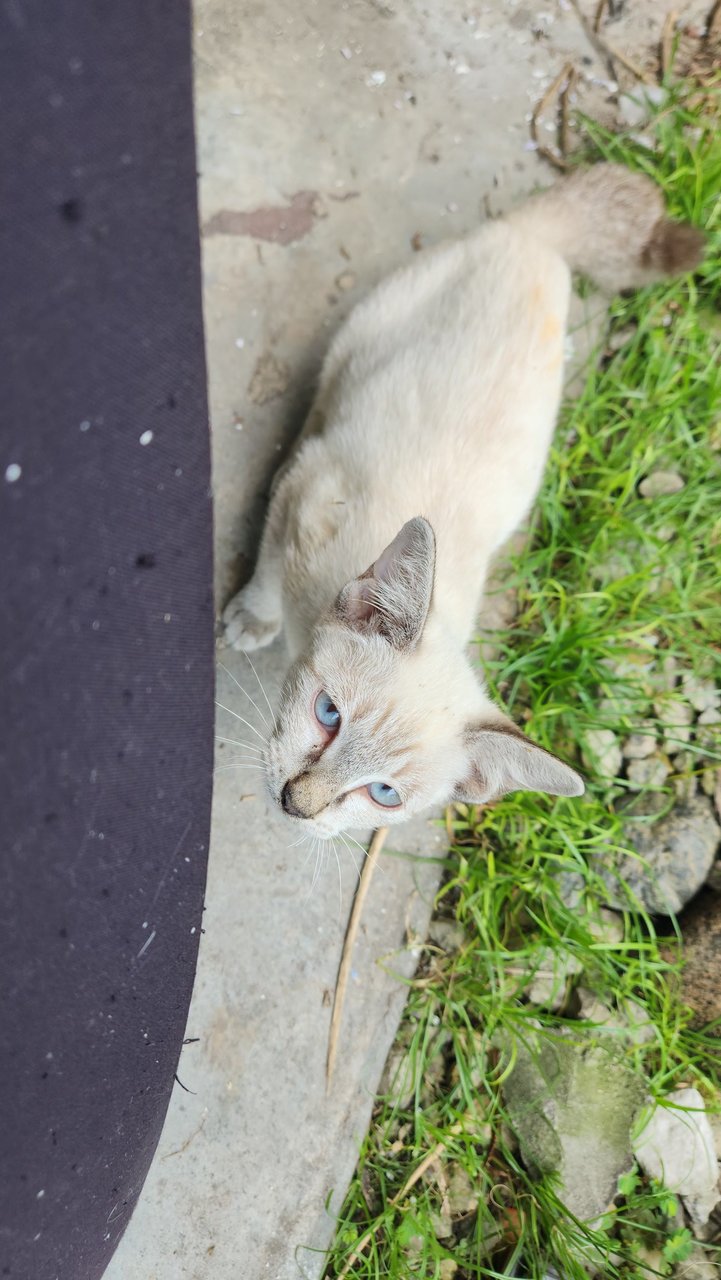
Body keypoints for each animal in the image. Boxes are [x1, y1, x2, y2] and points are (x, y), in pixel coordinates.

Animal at [224, 162, 706, 839]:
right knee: (327, 390)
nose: (299, 804)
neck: (311, 612)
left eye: (383, 794)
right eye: (328, 715)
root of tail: (537, 238)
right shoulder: (306, 489)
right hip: (370, 325)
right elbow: (268, 568)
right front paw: (253, 619)